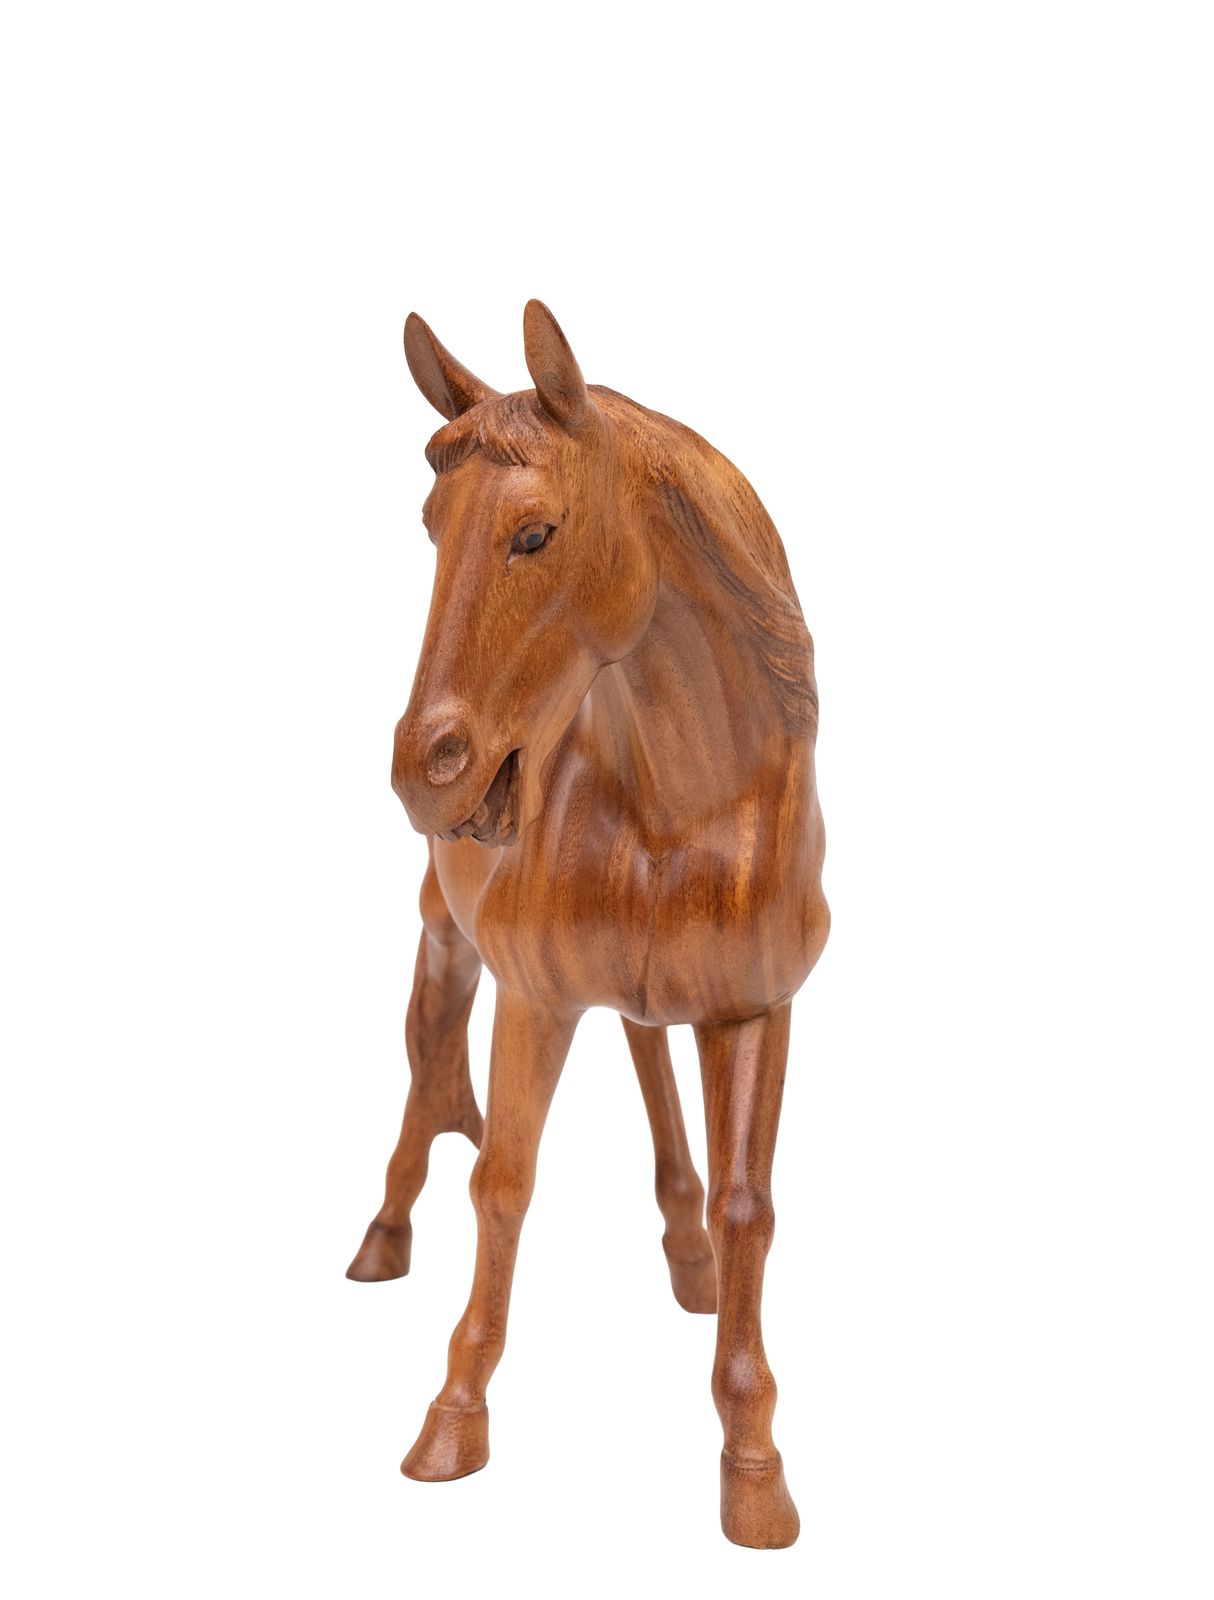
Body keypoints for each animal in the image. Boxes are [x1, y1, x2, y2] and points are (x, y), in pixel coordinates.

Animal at [347, 301, 829, 1548]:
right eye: (431, 525)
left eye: (534, 534)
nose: (425, 768)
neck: (684, 799)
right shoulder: (532, 996)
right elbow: (502, 1180)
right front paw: (451, 1419)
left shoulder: (753, 1008)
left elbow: (750, 1204)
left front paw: (752, 1468)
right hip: (445, 943)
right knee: (427, 1068)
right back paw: (382, 1239)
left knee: (646, 1054)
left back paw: (687, 1257)